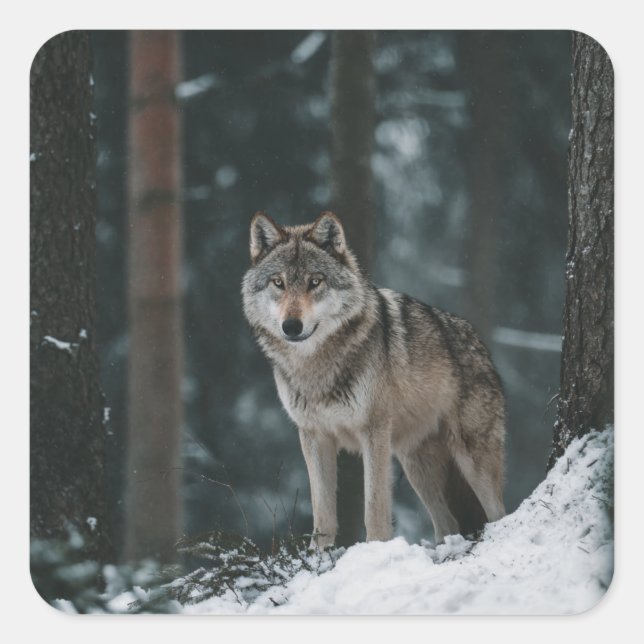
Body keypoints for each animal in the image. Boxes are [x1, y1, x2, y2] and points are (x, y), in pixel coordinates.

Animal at [242, 211, 506, 548]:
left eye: (315, 281)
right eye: (279, 282)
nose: (291, 326)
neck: (317, 367)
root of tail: (480, 344)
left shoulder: (374, 431)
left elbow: (375, 509)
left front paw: (375, 550)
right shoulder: (313, 435)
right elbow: (322, 515)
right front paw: (318, 556)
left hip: (472, 459)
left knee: (498, 513)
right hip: (416, 464)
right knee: (447, 524)